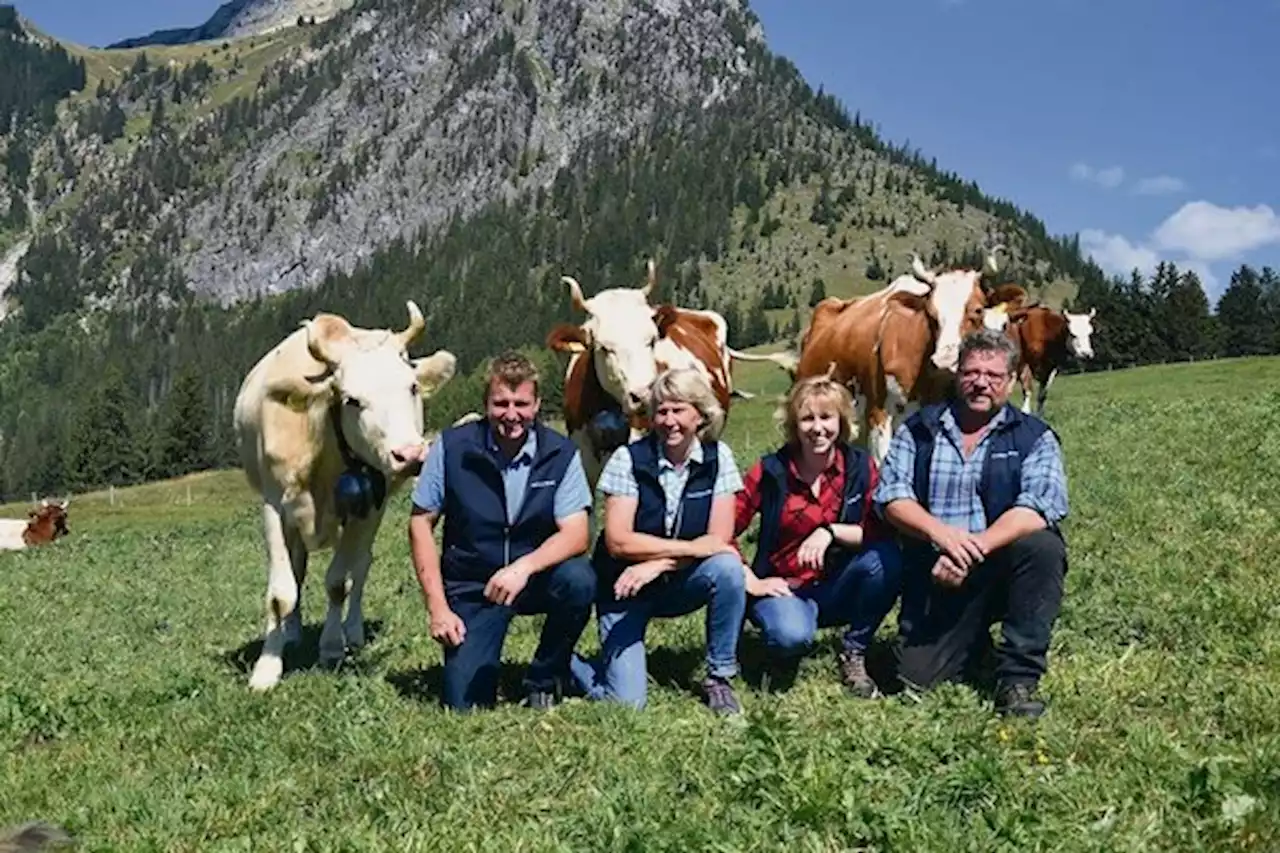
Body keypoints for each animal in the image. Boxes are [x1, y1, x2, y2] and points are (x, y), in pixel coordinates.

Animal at [232, 302, 458, 686]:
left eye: (412, 387)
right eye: (351, 400)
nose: (410, 455)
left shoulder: (366, 509)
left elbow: (339, 582)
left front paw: (332, 647)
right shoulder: (274, 506)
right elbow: (282, 592)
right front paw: (267, 668)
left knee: (361, 566)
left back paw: (351, 631)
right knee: (299, 568)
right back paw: (292, 632)